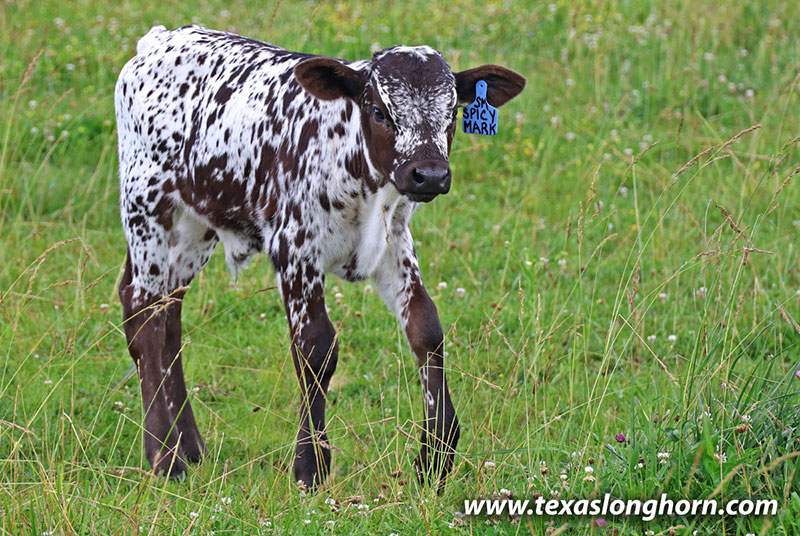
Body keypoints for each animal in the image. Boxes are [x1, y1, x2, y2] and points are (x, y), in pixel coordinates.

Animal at [115, 25, 525, 489]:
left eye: (453, 113)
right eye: (380, 111)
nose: (430, 175)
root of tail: (160, 38)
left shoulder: (394, 242)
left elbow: (426, 329)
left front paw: (436, 454)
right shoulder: (294, 247)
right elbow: (316, 347)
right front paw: (311, 465)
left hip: (194, 226)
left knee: (167, 313)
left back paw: (190, 445)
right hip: (146, 207)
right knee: (144, 314)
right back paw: (164, 455)